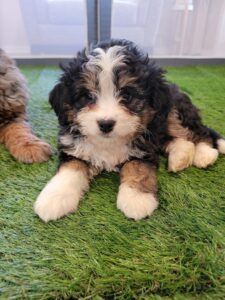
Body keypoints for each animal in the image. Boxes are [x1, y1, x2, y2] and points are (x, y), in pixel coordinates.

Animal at [33, 39, 225, 223]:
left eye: (127, 95)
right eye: (87, 96)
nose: (106, 124)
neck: (109, 142)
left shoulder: (144, 147)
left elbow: (137, 168)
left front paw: (136, 199)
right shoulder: (74, 147)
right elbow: (71, 169)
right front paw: (54, 199)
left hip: (173, 112)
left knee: (200, 133)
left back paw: (205, 154)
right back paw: (180, 158)